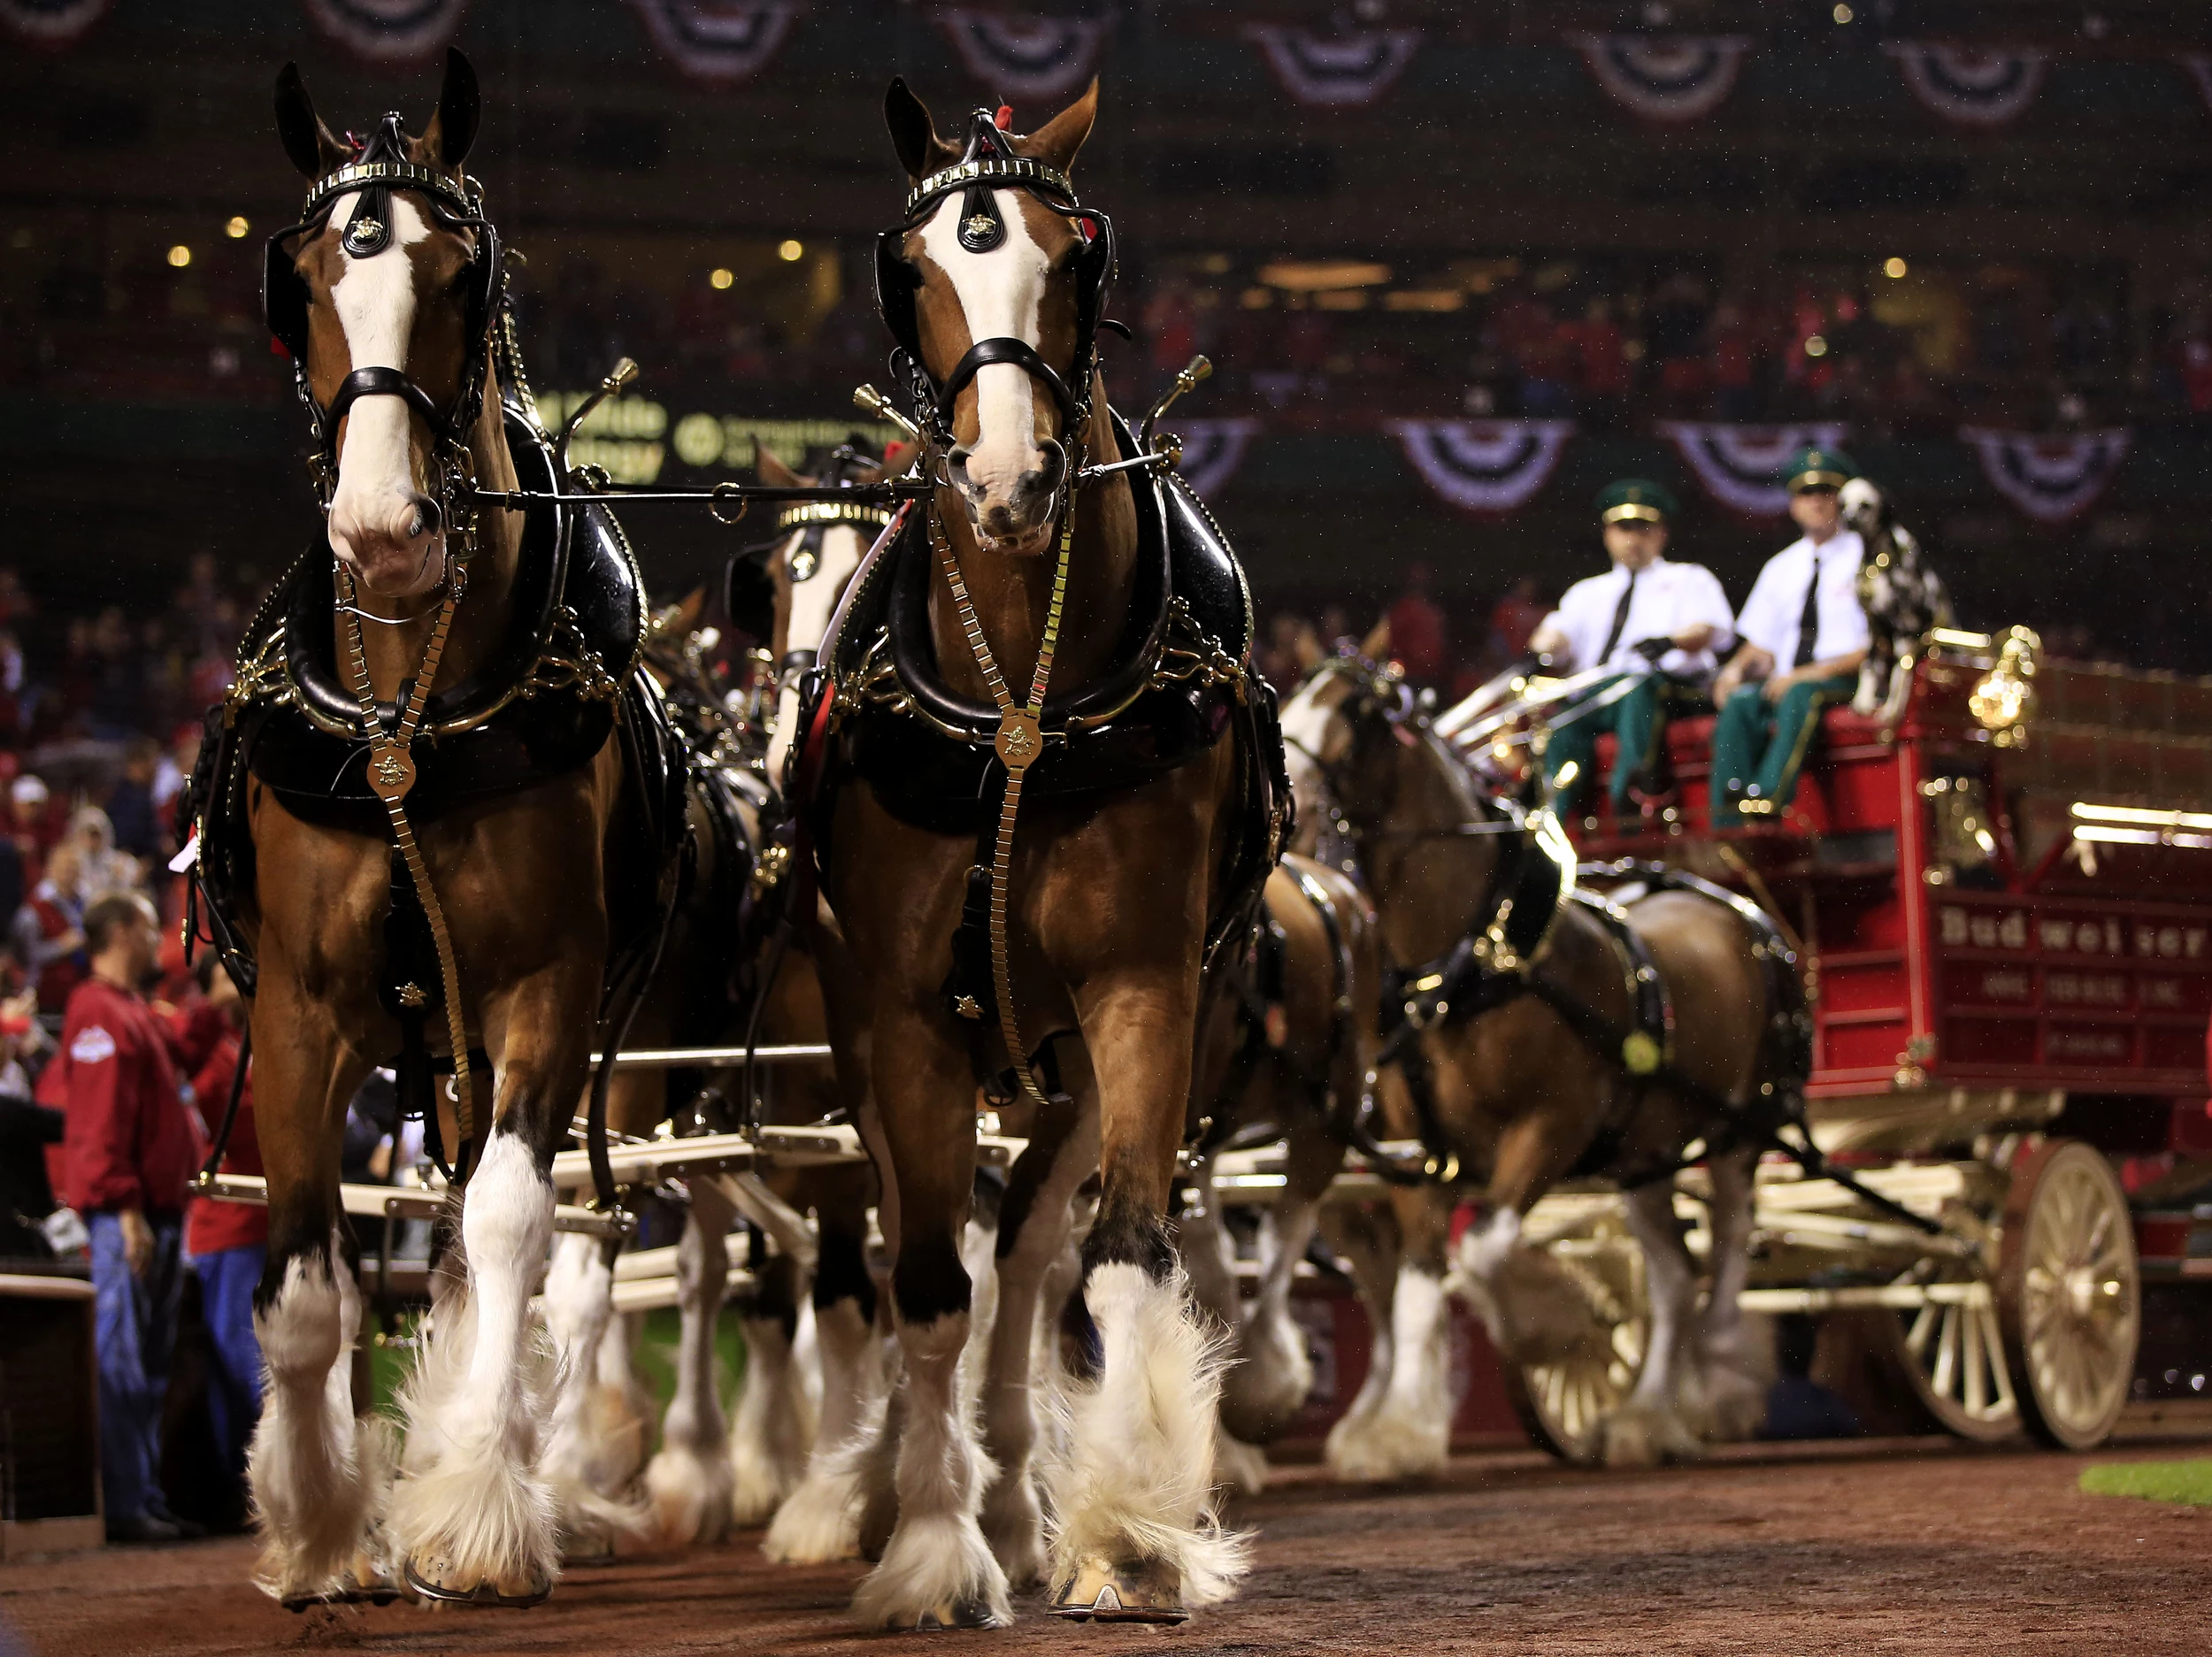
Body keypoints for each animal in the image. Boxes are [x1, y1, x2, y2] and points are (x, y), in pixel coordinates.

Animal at [1283, 655, 1796, 1469]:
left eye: (1353, 713)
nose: (1289, 807)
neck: (1470, 964)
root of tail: (1734, 905)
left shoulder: (1550, 1127)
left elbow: (1483, 1252)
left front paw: (1557, 1323)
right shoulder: (1420, 1157)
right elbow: (1420, 1290)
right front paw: (1399, 1432)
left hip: (1742, 1128)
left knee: (1731, 1239)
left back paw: (1715, 1377)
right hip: (1643, 1152)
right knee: (1672, 1276)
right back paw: (1647, 1417)